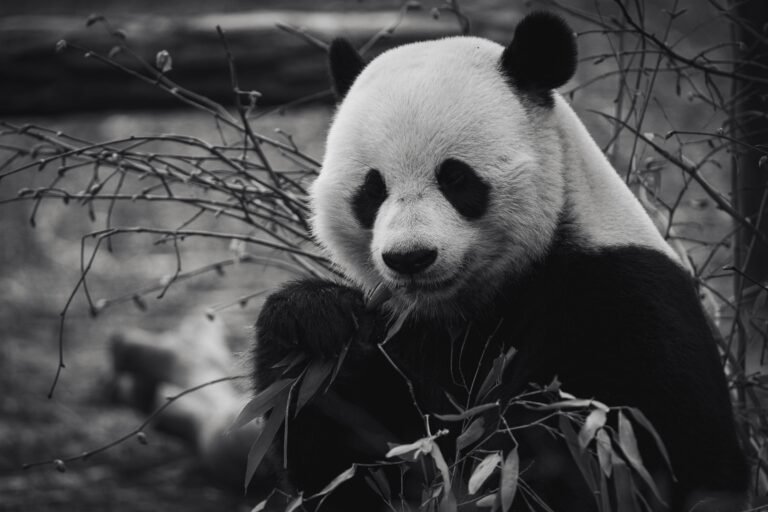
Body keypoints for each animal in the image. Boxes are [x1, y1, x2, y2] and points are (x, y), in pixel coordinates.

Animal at [254, 11, 748, 512]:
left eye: (456, 178)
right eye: (372, 190)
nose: (410, 258)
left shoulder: (623, 303)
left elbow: (611, 459)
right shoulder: (410, 331)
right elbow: (353, 465)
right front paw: (314, 320)